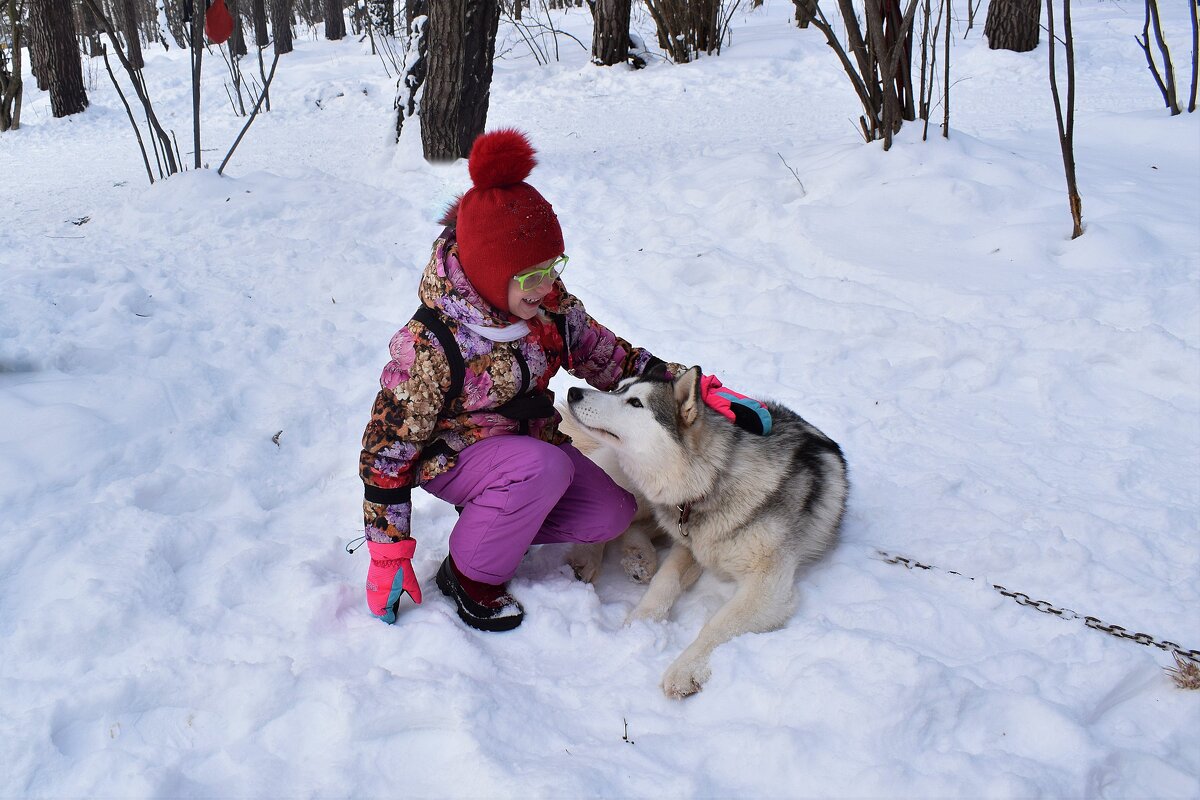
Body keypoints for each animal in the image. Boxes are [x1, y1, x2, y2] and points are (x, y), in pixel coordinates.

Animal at [559, 367, 844, 695]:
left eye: (635, 402)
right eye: (617, 388)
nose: (573, 393)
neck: (713, 479)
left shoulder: (766, 588)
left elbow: (718, 624)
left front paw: (684, 667)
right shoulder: (689, 545)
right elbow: (664, 582)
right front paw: (641, 621)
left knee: (633, 526)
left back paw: (639, 557)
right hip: (636, 490)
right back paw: (591, 558)